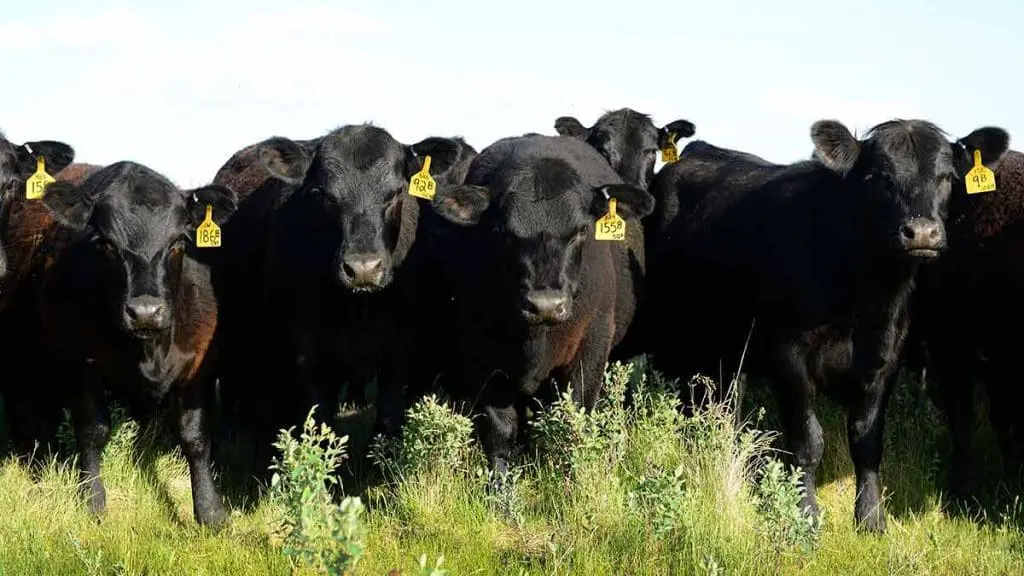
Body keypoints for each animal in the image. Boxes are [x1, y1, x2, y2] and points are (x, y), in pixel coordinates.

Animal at [6, 161, 238, 527]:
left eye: (178, 242)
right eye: (107, 245)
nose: (145, 312)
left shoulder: (198, 367)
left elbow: (196, 437)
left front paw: (210, 511)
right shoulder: (80, 367)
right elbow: (93, 431)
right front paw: (93, 501)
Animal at [214, 124, 485, 473]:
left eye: (396, 193)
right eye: (322, 194)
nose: (363, 269)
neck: (358, 310)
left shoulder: (401, 347)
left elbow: (389, 414)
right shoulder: (306, 352)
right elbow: (319, 421)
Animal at [431, 134, 655, 480]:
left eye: (581, 230)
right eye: (503, 232)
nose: (546, 305)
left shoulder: (592, 344)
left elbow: (576, 416)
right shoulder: (477, 353)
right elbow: (499, 429)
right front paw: (500, 486)